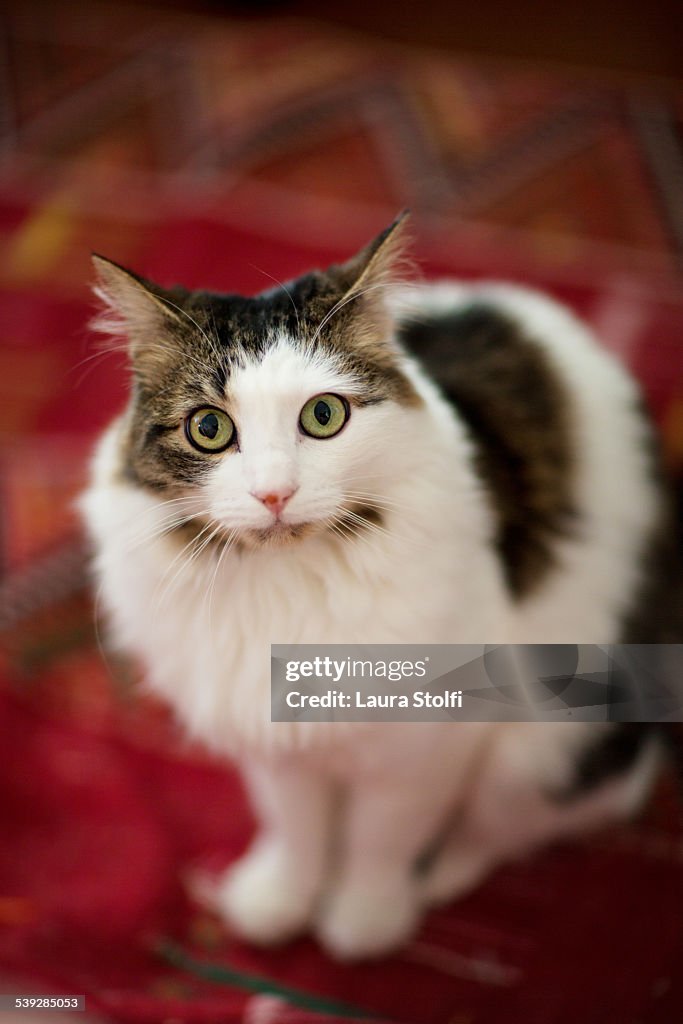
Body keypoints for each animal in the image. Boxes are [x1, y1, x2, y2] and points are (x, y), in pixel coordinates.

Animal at [80, 214, 679, 958]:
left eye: (323, 417)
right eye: (209, 428)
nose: (274, 494)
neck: (292, 589)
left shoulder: (425, 741)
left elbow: (381, 839)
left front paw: (364, 921)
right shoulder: (271, 733)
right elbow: (296, 829)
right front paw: (279, 903)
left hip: (543, 746)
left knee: (514, 824)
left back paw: (439, 876)